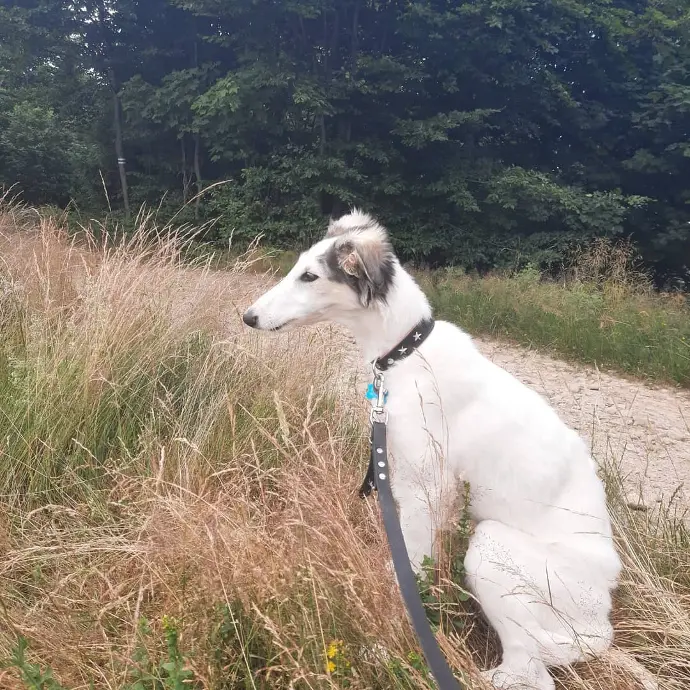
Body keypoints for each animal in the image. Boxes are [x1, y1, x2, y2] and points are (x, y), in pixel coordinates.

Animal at [243, 211, 636, 688]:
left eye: (310, 276)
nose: (248, 317)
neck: (405, 353)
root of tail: (601, 627)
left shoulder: (424, 490)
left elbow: (410, 567)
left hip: (491, 547)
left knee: (531, 670)